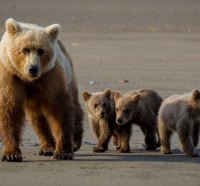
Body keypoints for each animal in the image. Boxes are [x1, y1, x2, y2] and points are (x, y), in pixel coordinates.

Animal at [0, 18, 83, 161]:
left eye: (41, 50)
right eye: (25, 49)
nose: (33, 68)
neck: (28, 79)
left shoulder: (51, 76)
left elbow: (59, 110)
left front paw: (63, 152)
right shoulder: (10, 76)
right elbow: (10, 109)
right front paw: (11, 154)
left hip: (69, 73)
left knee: (74, 105)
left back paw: (75, 141)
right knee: (37, 118)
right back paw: (47, 147)